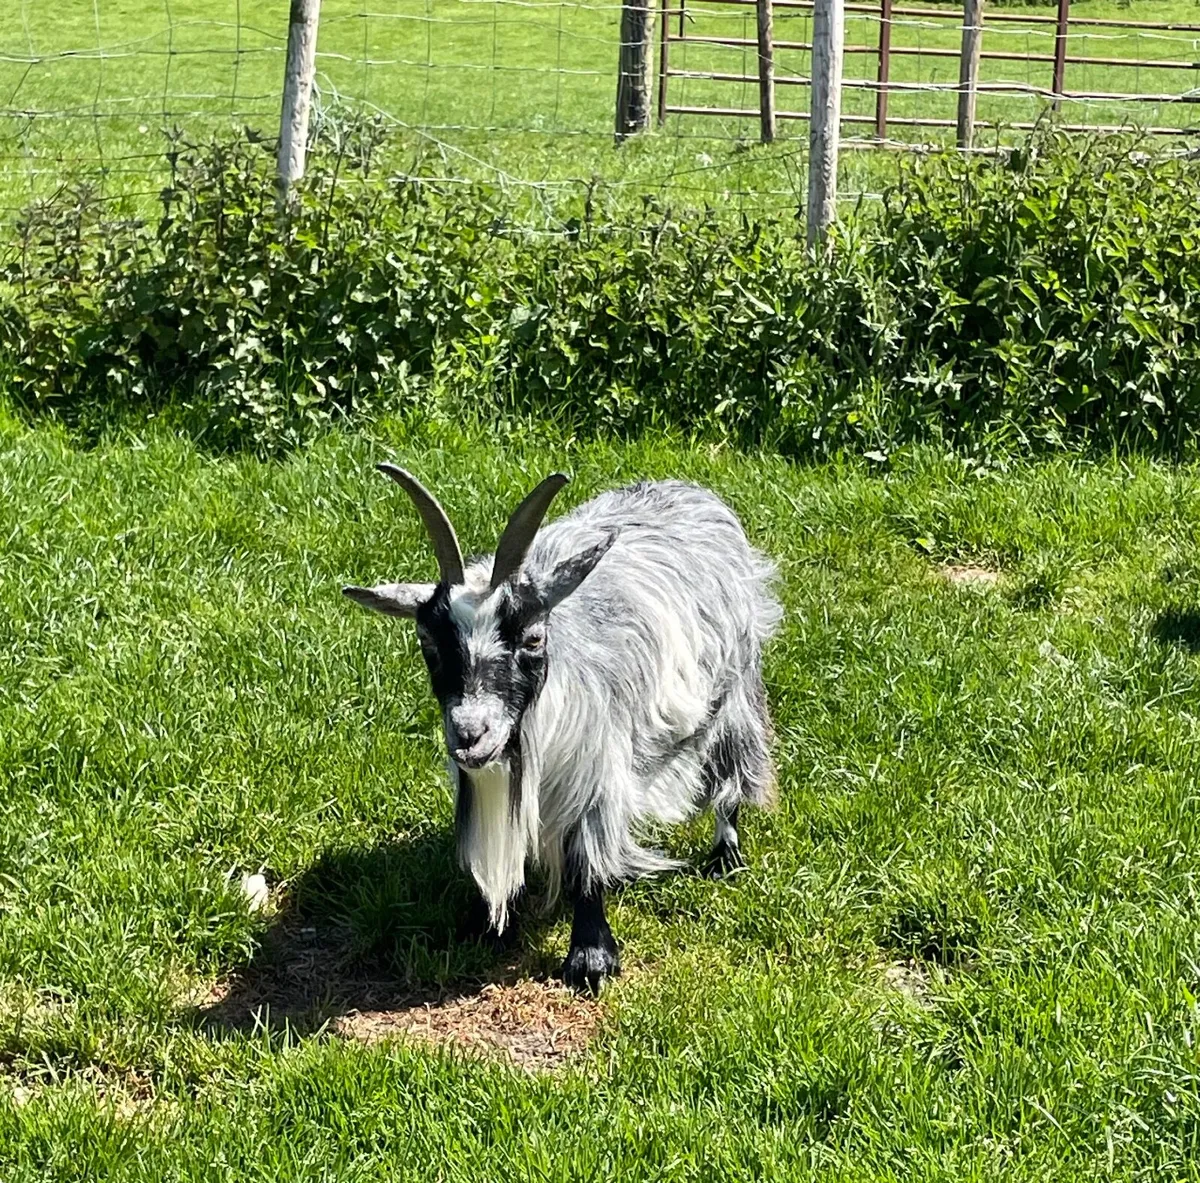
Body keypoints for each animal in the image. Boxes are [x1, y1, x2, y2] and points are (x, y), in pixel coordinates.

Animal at [344, 465, 781, 992]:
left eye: (533, 637)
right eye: (429, 641)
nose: (470, 734)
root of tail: (690, 490)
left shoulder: (596, 771)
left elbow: (583, 860)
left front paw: (591, 959)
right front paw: (485, 926)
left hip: (735, 690)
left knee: (732, 767)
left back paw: (726, 857)